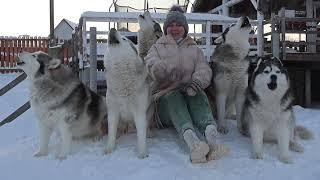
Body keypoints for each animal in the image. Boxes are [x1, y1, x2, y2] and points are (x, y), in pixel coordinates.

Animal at [104, 28, 151, 159]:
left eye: (124, 39)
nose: (112, 29)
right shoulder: (113, 111)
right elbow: (111, 133)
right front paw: (109, 149)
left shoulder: (140, 112)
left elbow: (141, 135)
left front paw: (142, 153)